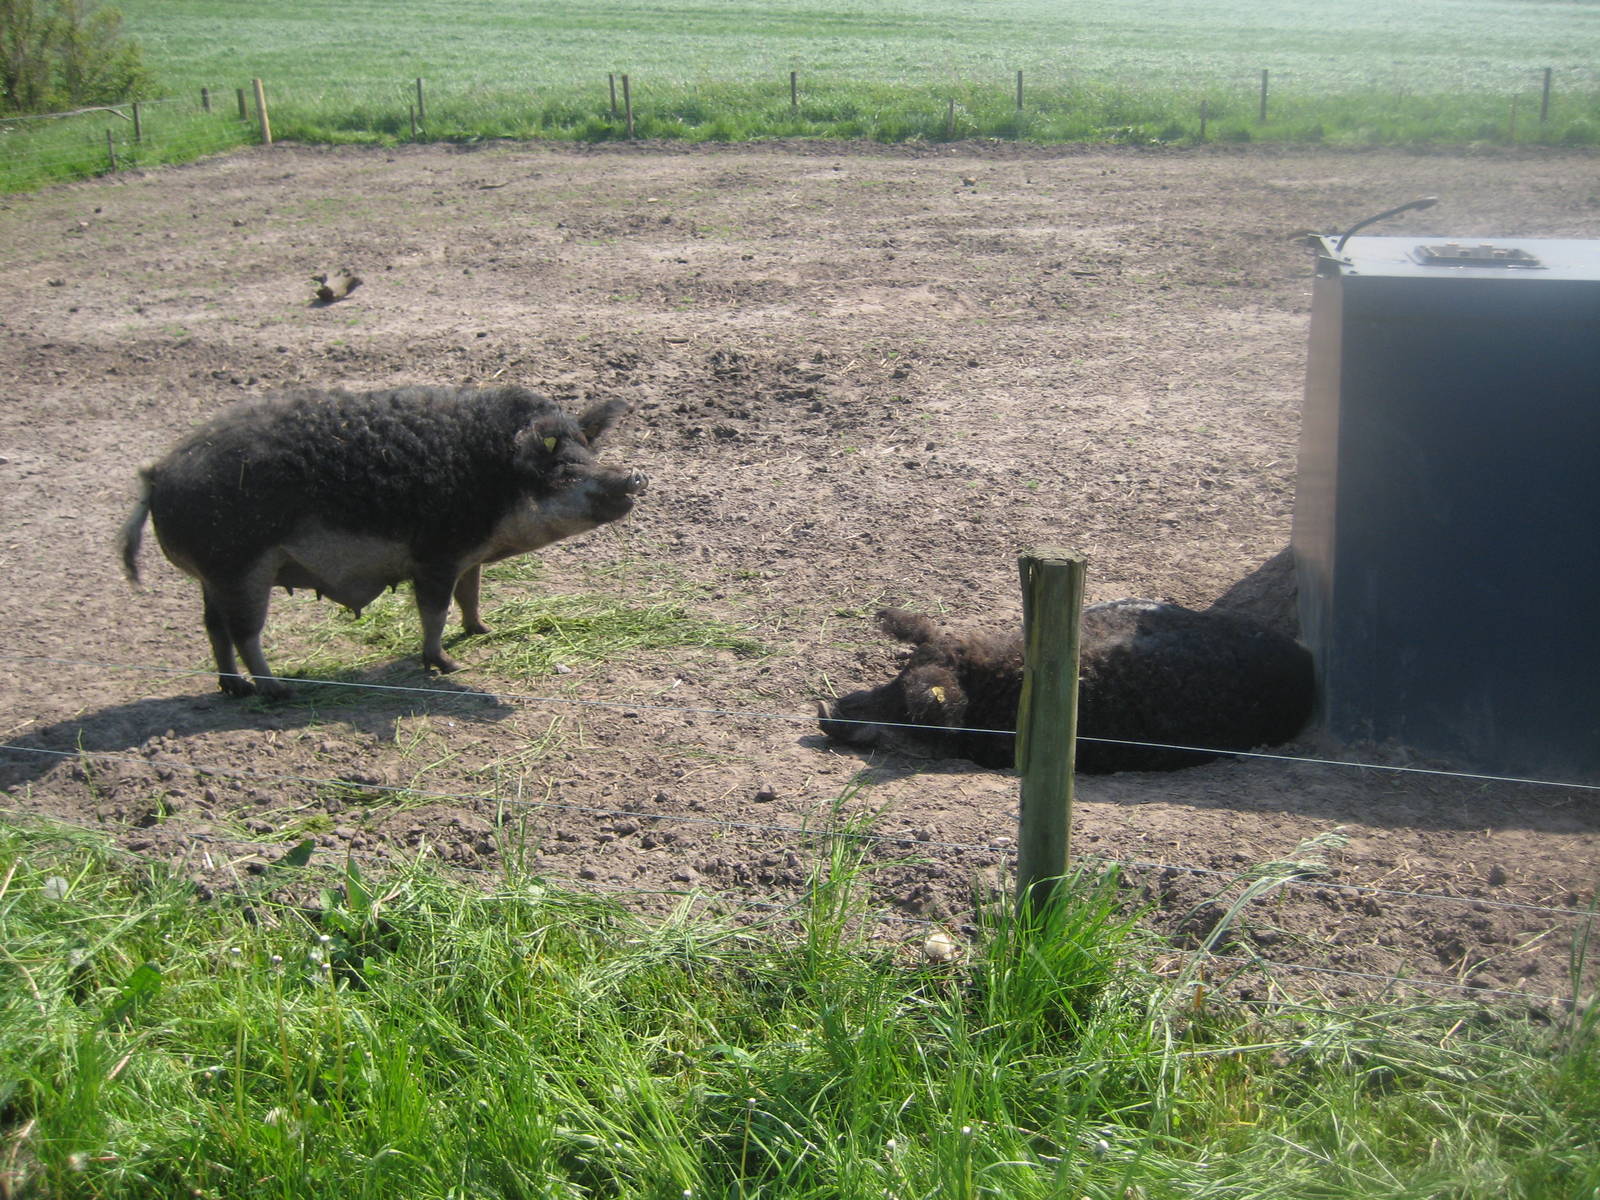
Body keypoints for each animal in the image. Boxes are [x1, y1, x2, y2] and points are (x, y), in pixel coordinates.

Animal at [120, 384, 646, 699]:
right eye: (564, 469)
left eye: (588, 452)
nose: (634, 476)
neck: (494, 482)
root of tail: (158, 472)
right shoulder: (435, 555)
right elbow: (434, 613)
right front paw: (449, 665)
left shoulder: (469, 557)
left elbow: (471, 595)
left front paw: (484, 631)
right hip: (239, 565)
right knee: (245, 631)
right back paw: (279, 691)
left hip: (213, 575)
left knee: (214, 628)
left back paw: (235, 690)